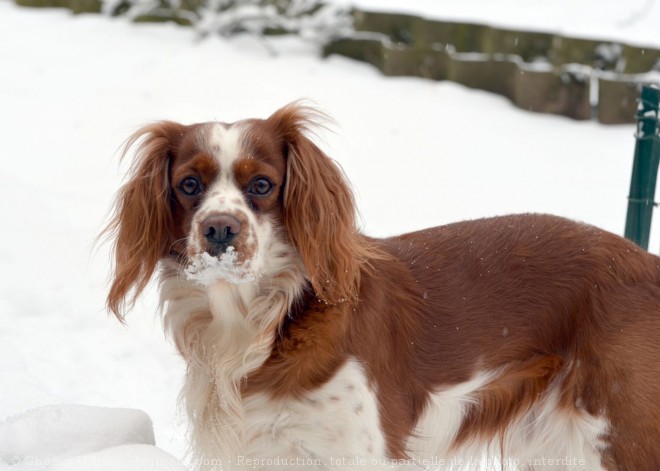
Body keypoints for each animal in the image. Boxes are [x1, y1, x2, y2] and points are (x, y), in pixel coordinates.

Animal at [107, 104, 660, 471]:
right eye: (189, 185)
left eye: (261, 185)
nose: (219, 230)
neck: (260, 320)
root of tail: (648, 263)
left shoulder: (360, 452)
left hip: (622, 435)